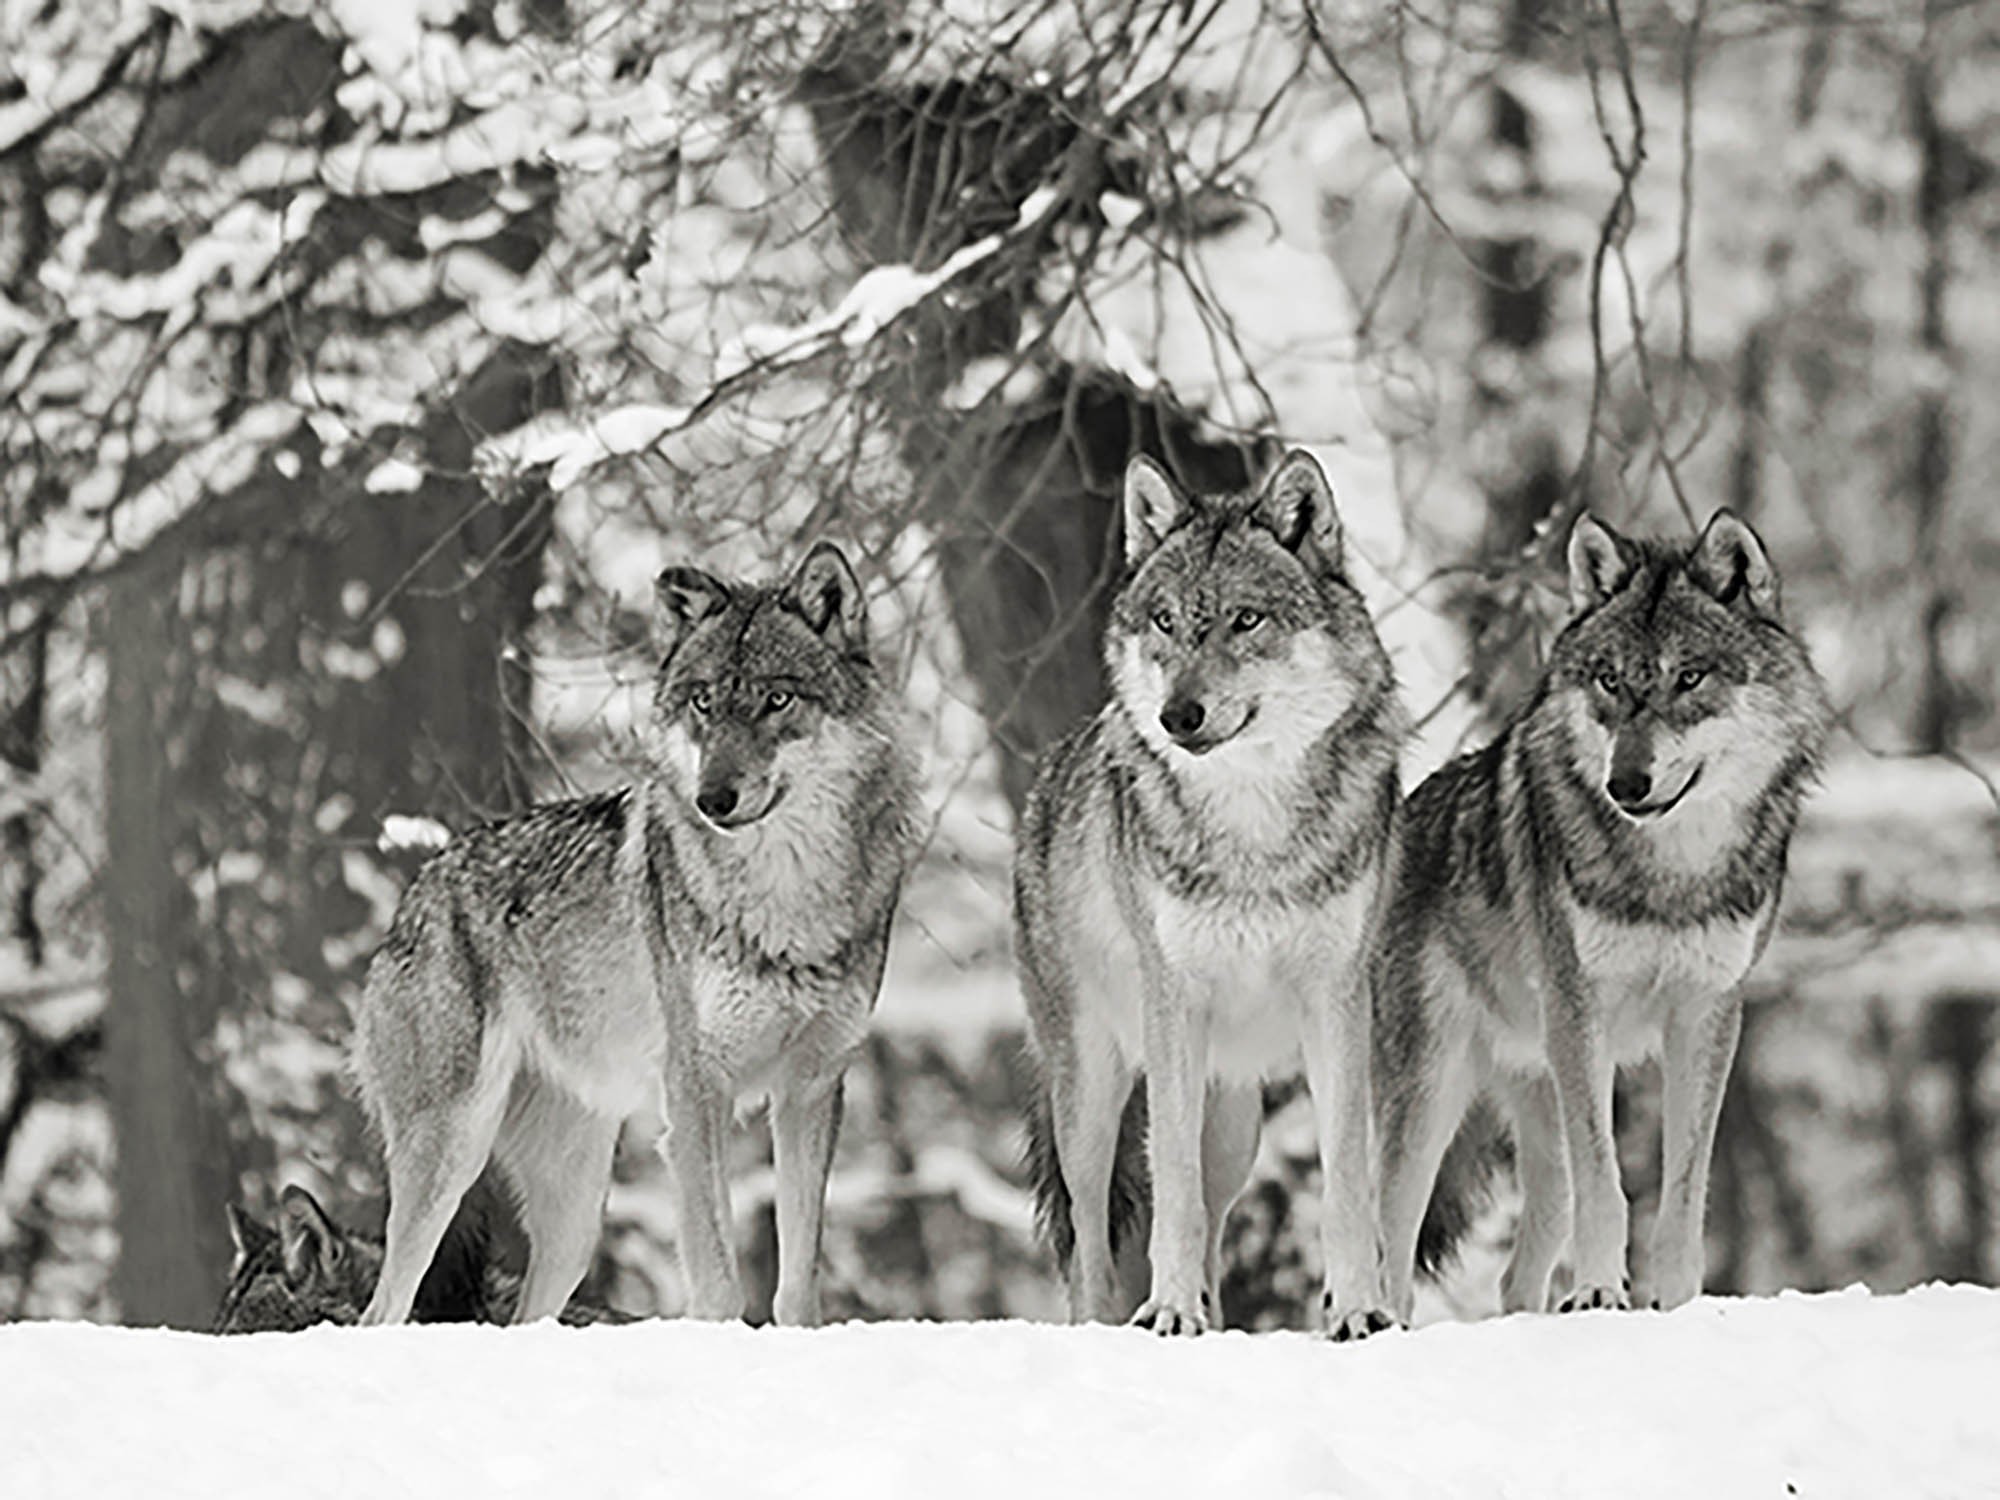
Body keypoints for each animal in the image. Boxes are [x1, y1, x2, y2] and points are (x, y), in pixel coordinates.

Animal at [352, 542, 921, 1328]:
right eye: (704, 702)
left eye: (777, 700)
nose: (714, 799)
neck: (784, 899)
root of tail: (417, 889)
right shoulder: (696, 1089)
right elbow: (717, 1277)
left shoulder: (812, 1089)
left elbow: (798, 1281)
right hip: (450, 1154)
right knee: (381, 1309)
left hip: (576, 1219)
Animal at [1017, 449, 1407, 1340]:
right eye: (1164, 622)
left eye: (1245, 621)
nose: (1178, 716)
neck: (1252, 826)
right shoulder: (1174, 1003)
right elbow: (1171, 1199)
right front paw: (1166, 1311)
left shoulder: (1339, 1000)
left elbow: (1345, 1184)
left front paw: (1357, 1311)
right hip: (1092, 1097)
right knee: (1093, 1237)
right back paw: (1109, 1323)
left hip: (1235, 1122)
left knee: (1214, 1209)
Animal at [1374, 509, 1831, 1318]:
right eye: (1609, 679)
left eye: (1689, 676)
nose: (1627, 783)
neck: (1671, 874)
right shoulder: (1580, 1011)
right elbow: (1608, 1183)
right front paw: (1597, 1293)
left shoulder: (1708, 1015)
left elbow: (1683, 1194)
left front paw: (1676, 1306)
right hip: (1431, 1092)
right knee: (1389, 1243)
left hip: (1537, 1104)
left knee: (1517, 1268)